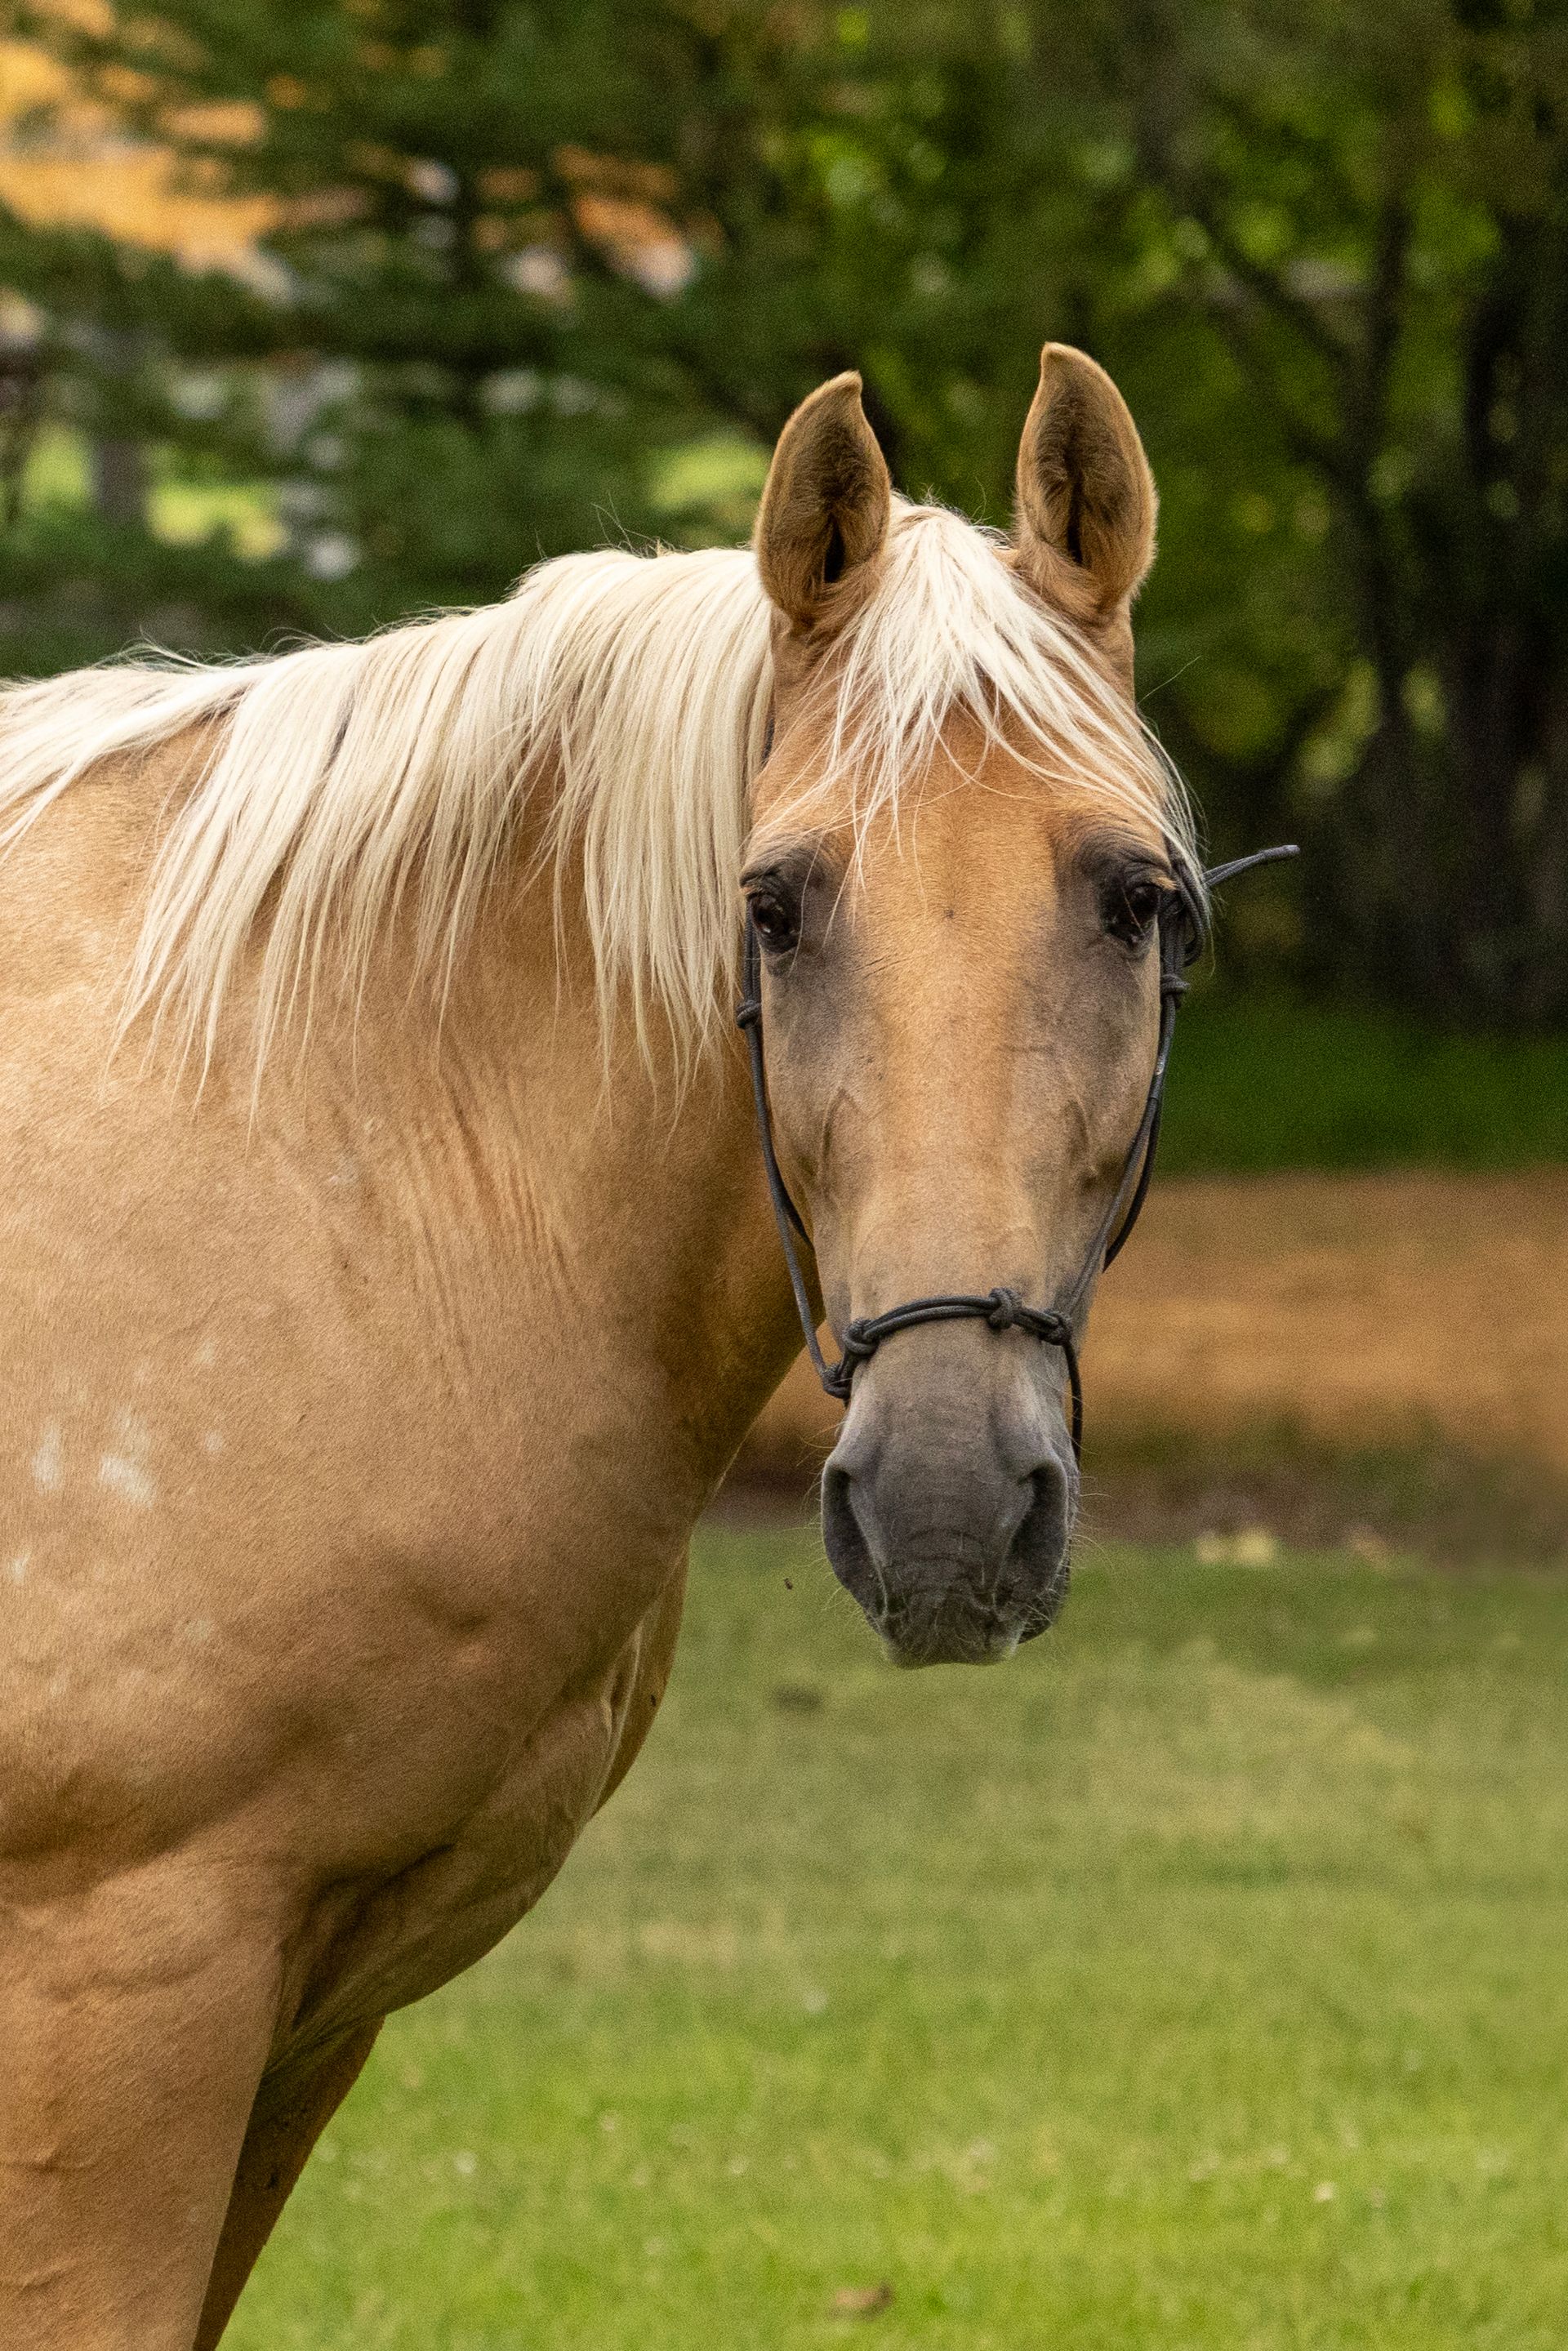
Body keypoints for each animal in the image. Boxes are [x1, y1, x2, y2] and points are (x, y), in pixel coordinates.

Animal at [0, 343, 1200, 2346]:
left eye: (1136, 896)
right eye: (774, 902)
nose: (949, 1505)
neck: (337, 1152)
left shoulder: (297, 2020)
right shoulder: (117, 1988)